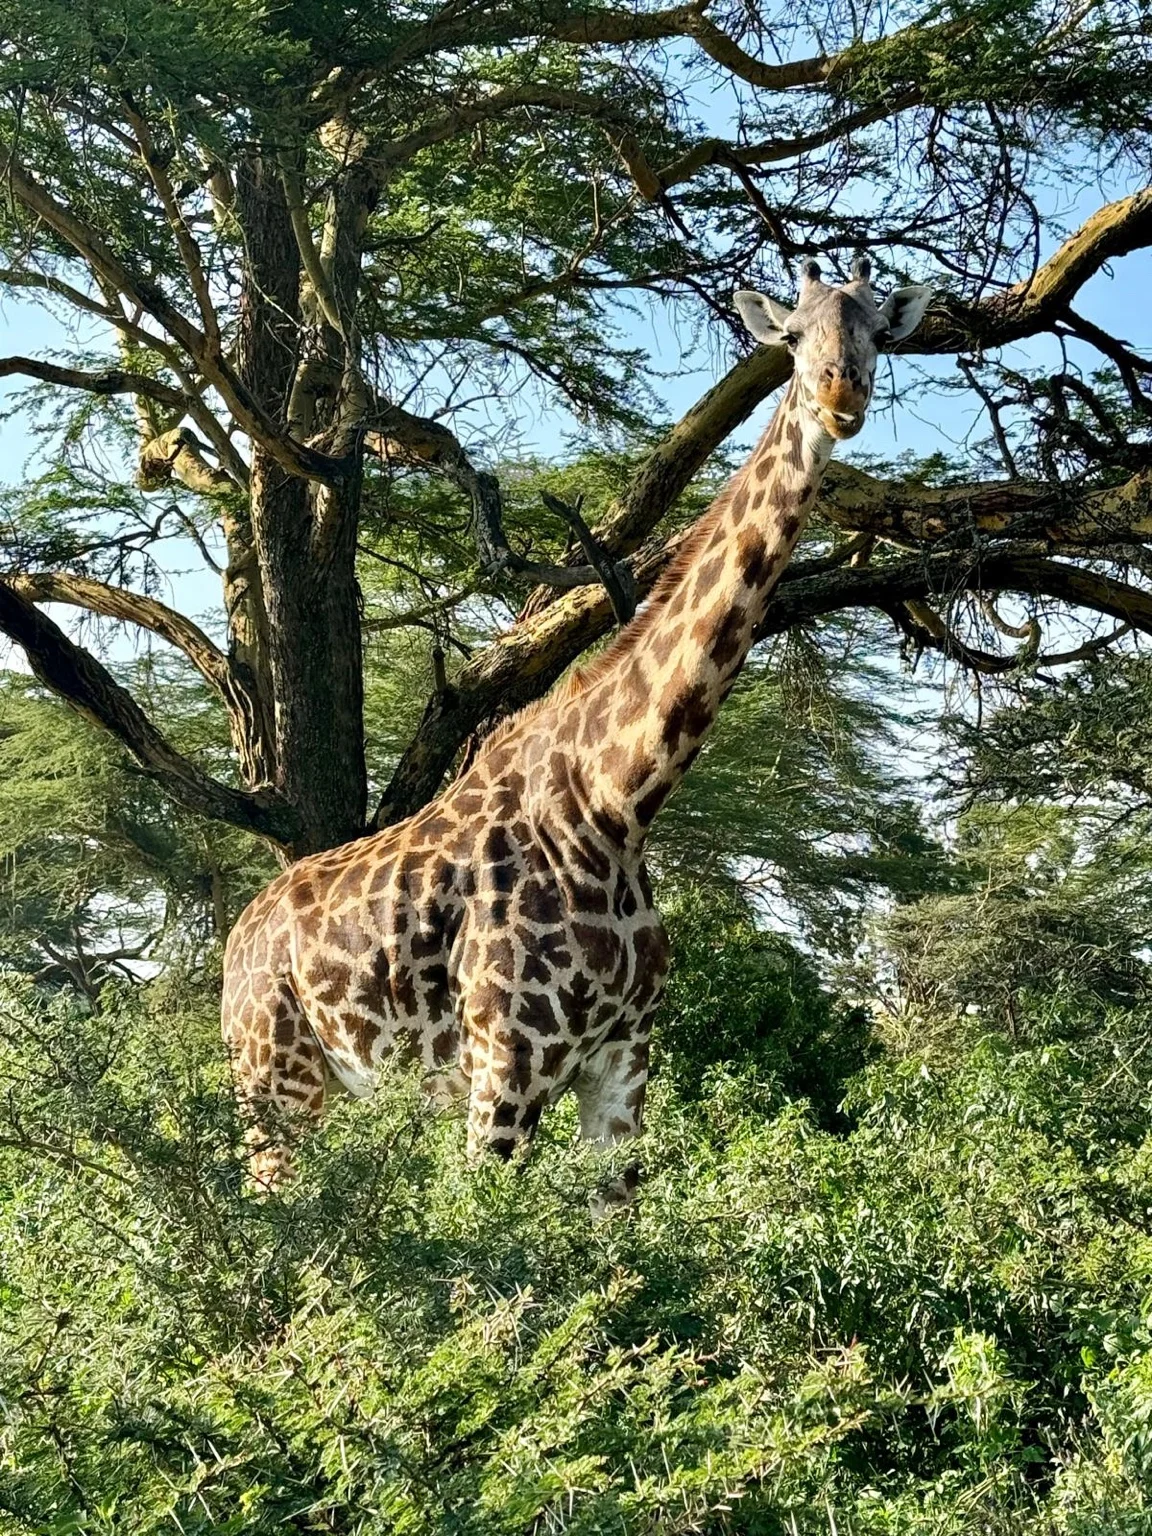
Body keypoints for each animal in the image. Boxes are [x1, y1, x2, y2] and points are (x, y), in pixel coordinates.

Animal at [221, 258, 934, 1192]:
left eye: (880, 331)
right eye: (788, 336)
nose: (840, 394)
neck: (618, 800)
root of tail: (231, 951)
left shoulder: (624, 1064)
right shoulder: (506, 1066)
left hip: (334, 1089)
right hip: (276, 1083)